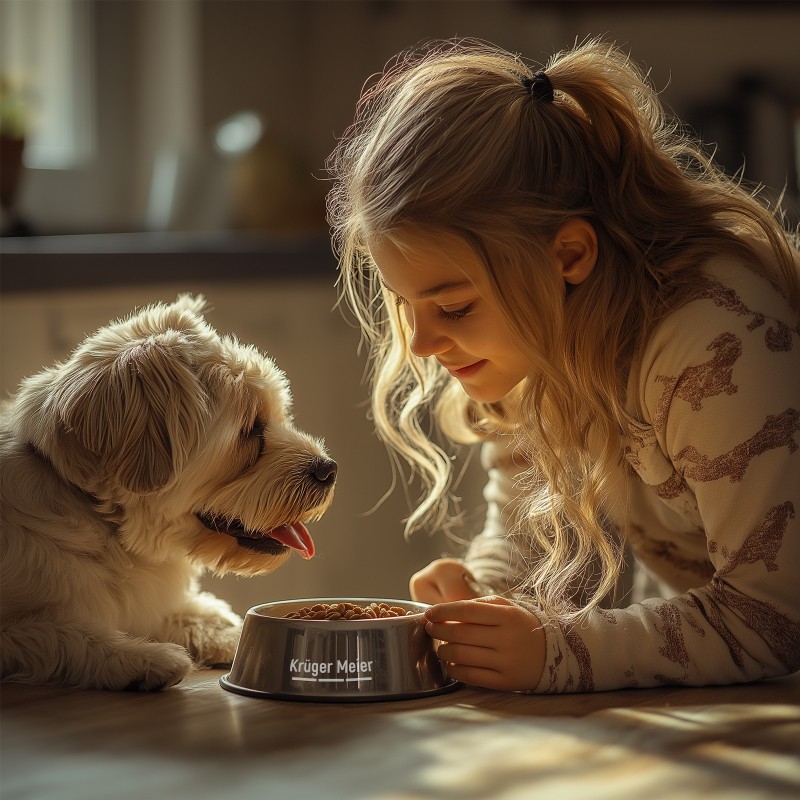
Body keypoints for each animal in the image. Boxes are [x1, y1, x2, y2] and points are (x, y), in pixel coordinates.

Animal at [0, 294, 336, 688]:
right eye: (250, 429)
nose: (329, 470)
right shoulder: (20, 634)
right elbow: (62, 634)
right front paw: (145, 658)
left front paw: (235, 636)